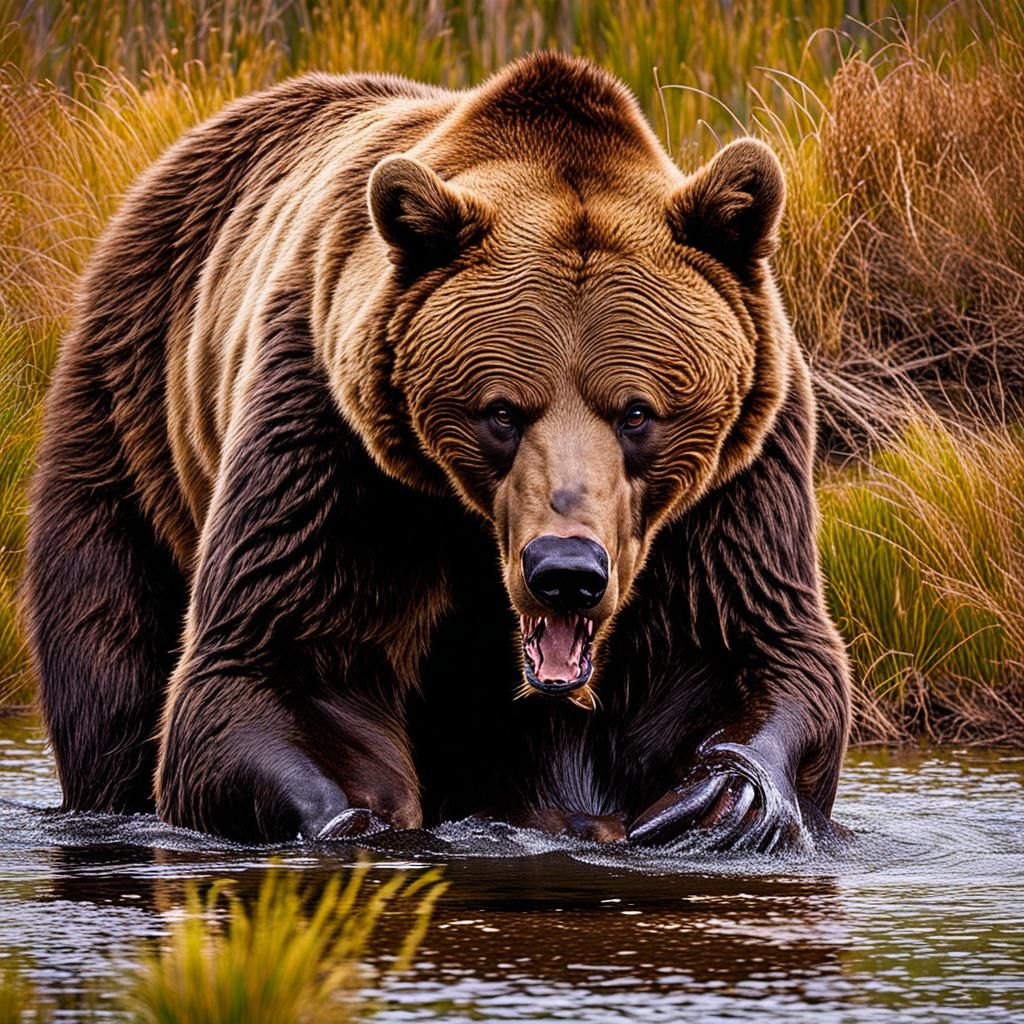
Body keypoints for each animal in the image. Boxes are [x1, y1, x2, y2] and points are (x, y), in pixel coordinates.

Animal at [22, 52, 850, 850]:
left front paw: (723, 803)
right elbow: (280, 657)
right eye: (502, 412)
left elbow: (741, 646)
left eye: (637, 412)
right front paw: (360, 820)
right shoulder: (334, 442)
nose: (566, 572)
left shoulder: (740, 473)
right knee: (112, 635)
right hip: (135, 408)